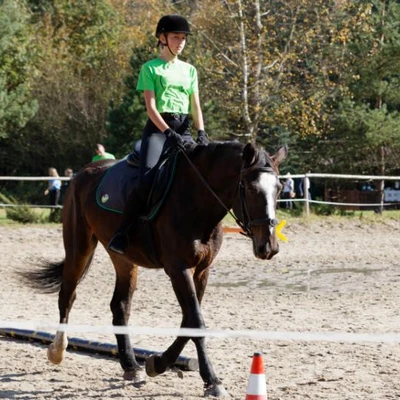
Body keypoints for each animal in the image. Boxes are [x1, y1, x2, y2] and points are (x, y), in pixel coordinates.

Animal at [23, 141, 288, 396]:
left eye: (279, 189)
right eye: (251, 189)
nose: (268, 247)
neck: (196, 200)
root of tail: (83, 173)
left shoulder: (202, 270)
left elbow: (189, 319)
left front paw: (157, 363)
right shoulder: (178, 268)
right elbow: (196, 320)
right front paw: (212, 381)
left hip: (124, 259)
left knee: (120, 306)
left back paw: (131, 366)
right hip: (79, 246)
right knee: (67, 295)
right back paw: (57, 350)